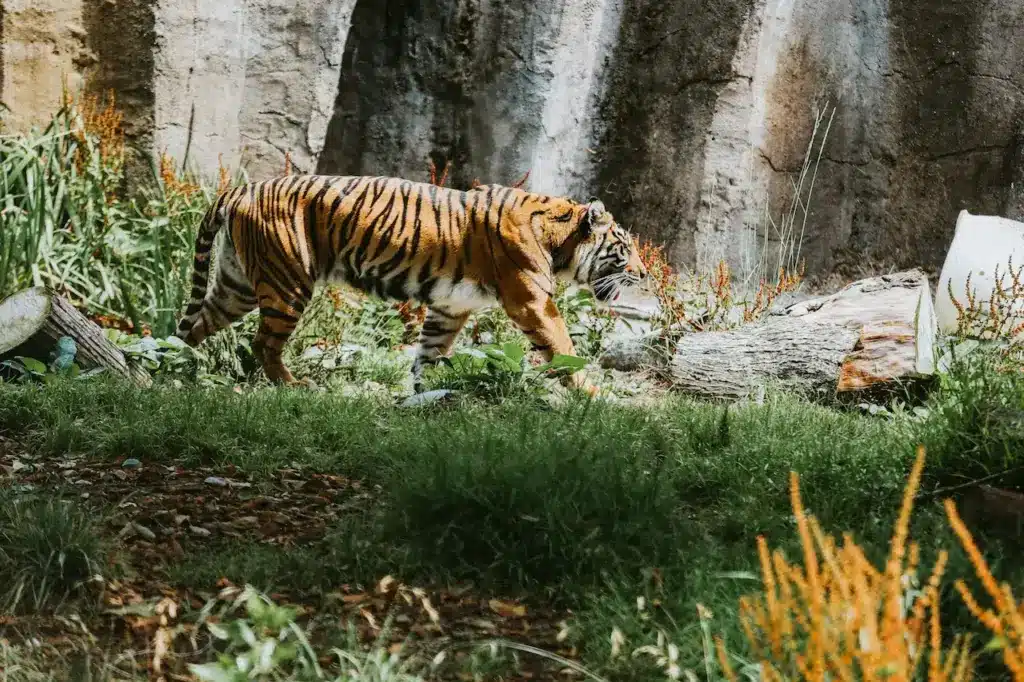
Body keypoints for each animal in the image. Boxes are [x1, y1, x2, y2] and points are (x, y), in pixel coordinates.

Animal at [172, 173, 643, 391]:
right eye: (624, 246)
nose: (643, 273)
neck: (559, 238)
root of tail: (242, 189)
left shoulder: (451, 307)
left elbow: (429, 354)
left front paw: (422, 393)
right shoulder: (532, 301)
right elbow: (563, 348)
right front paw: (592, 395)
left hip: (237, 285)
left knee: (192, 326)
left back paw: (173, 369)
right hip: (287, 282)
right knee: (263, 343)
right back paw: (292, 385)